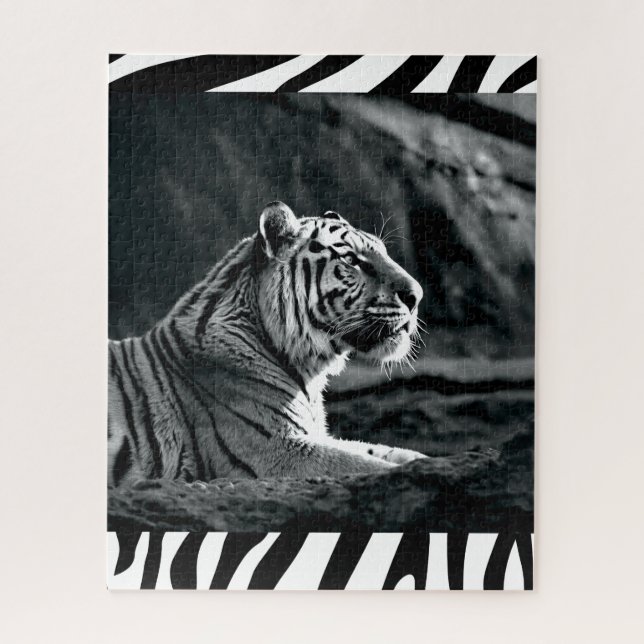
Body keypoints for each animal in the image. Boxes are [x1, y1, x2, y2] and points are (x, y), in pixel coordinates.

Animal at [108, 201, 427, 486]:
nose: (416, 296)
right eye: (351, 260)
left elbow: (384, 451)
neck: (309, 371)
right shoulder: (277, 450)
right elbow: (363, 464)